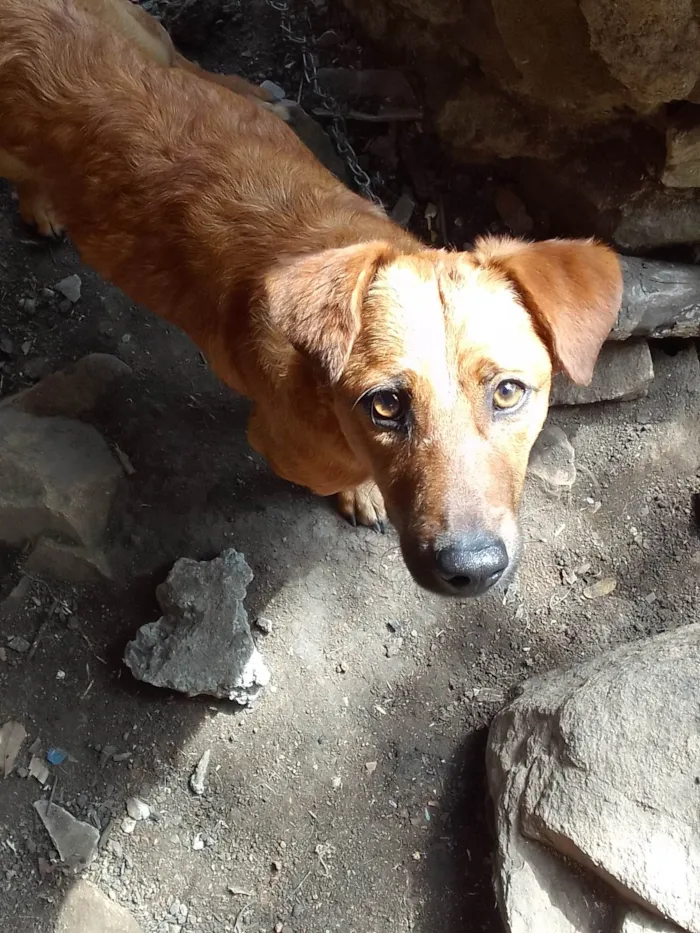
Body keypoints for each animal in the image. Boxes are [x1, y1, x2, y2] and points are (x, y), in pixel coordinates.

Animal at [0, 0, 620, 596]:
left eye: (509, 392)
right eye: (385, 405)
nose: (470, 571)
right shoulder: (283, 444)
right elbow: (338, 472)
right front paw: (363, 490)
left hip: (140, 32)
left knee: (189, 63)